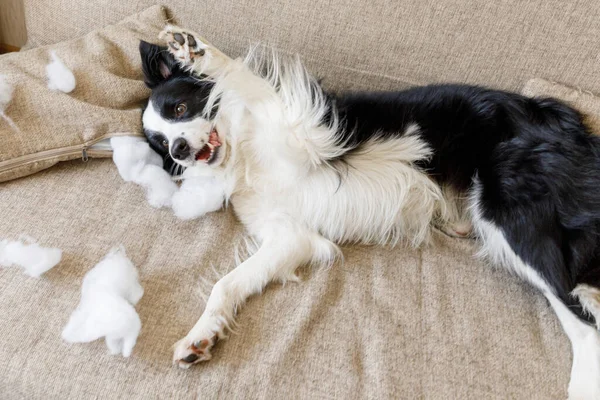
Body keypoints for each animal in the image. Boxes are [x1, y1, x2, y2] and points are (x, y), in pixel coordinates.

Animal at [139, 26, 600, 398]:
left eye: (179, 109)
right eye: (160, 146)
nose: (179, 149)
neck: (243, 156)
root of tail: (561, 117)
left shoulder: (307, 128)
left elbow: (240, 77)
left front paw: (194, 49)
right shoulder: (290, 236)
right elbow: (227, 284)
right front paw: (201, 335)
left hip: (514, 220)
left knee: (578, 307)